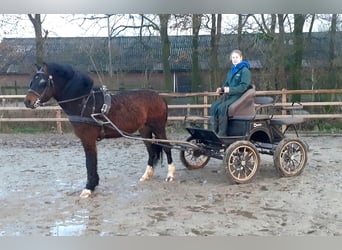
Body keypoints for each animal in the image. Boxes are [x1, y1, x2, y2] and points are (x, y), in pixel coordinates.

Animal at [23, 62, 176, 197]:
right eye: (31, 81)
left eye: (42, 82)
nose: (27, 102)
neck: (85, 102)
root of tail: (159, 97)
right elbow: (92, 162)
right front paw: (93, 185)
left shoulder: (88, 139)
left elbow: (90, 162)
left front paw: (88, 188)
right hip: (144, 130)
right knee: (151, 150)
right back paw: (146, 176)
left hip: (158, 127)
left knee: (167, 147)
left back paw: (170, 175)